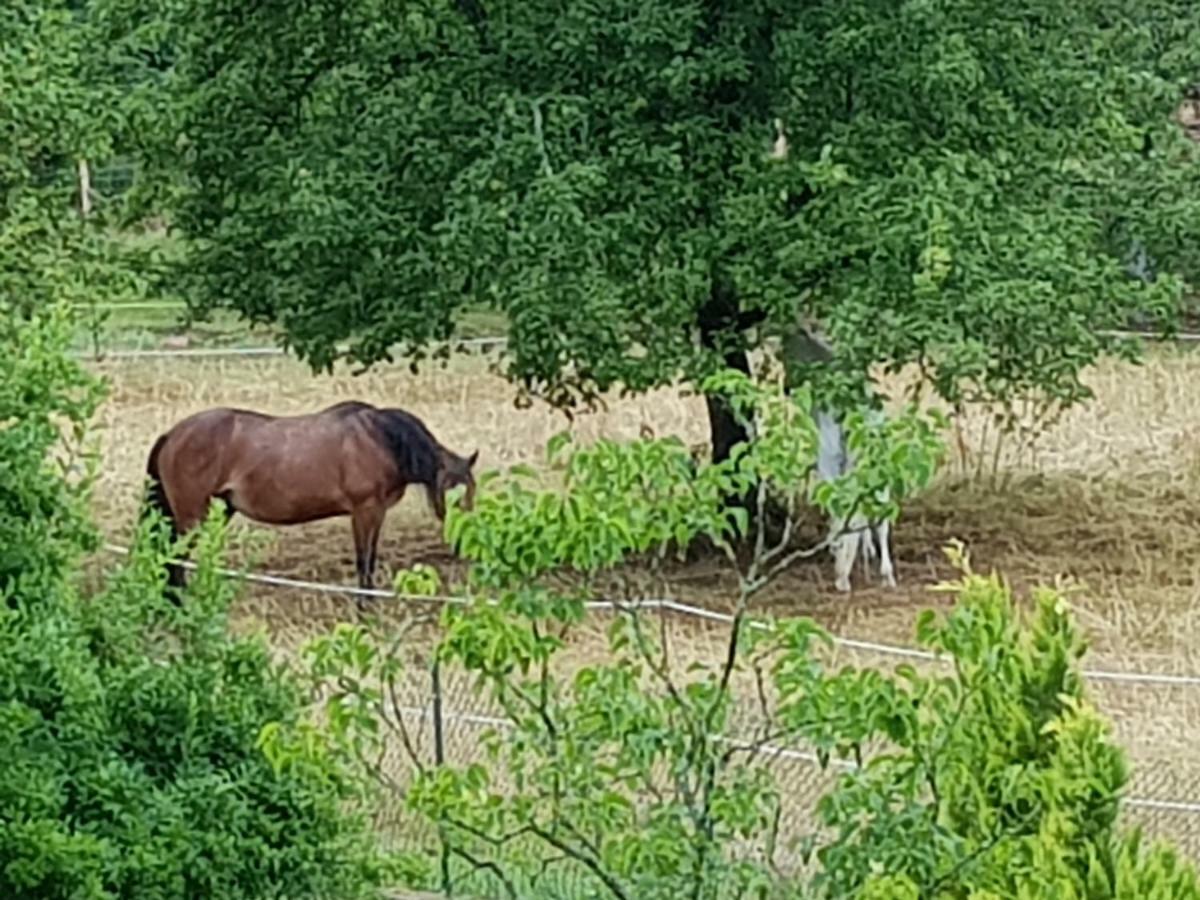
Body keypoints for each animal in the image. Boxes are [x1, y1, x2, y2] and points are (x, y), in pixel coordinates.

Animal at [144, 400, 472, 592]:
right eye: (454, 494)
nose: (464, 545)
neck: (380, 439)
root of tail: (172, 434)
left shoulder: (377, 514)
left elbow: (370, 559)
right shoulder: (364, 511)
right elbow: (363, 562)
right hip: (192, 517)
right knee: (175, 563)